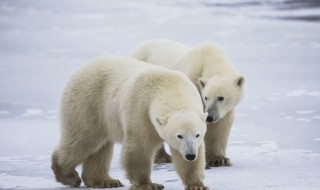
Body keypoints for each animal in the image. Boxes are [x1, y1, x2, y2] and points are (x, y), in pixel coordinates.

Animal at [51, 55, 209, 189]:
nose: (190, 155)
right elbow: (140, 146)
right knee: (84, 139)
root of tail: (79, 70)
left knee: (101, 147)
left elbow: (192, 160)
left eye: (197, 135)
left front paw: (197, 185)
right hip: (88, 103)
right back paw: (69, 176)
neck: (170, 86)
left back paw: (106, 181)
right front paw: (148, 185)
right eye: (179, 136)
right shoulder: (141, 109)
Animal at [131, 39, 245, 167]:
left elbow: (221, 126)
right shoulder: (193, 81)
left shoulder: (225, 110)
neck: (211, 58)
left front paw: (219, 159)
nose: (210, 117)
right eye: (206, 97)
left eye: (221, 98)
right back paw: (162, 157)